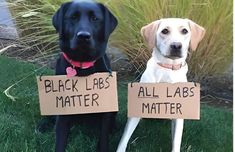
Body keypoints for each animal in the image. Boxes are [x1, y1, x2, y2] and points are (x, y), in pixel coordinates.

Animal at [52, 0, 117, 151]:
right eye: (73, 17)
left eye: (95, 18)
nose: (83, 36)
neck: (83, 65)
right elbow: (60, 138)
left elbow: (104, 135)